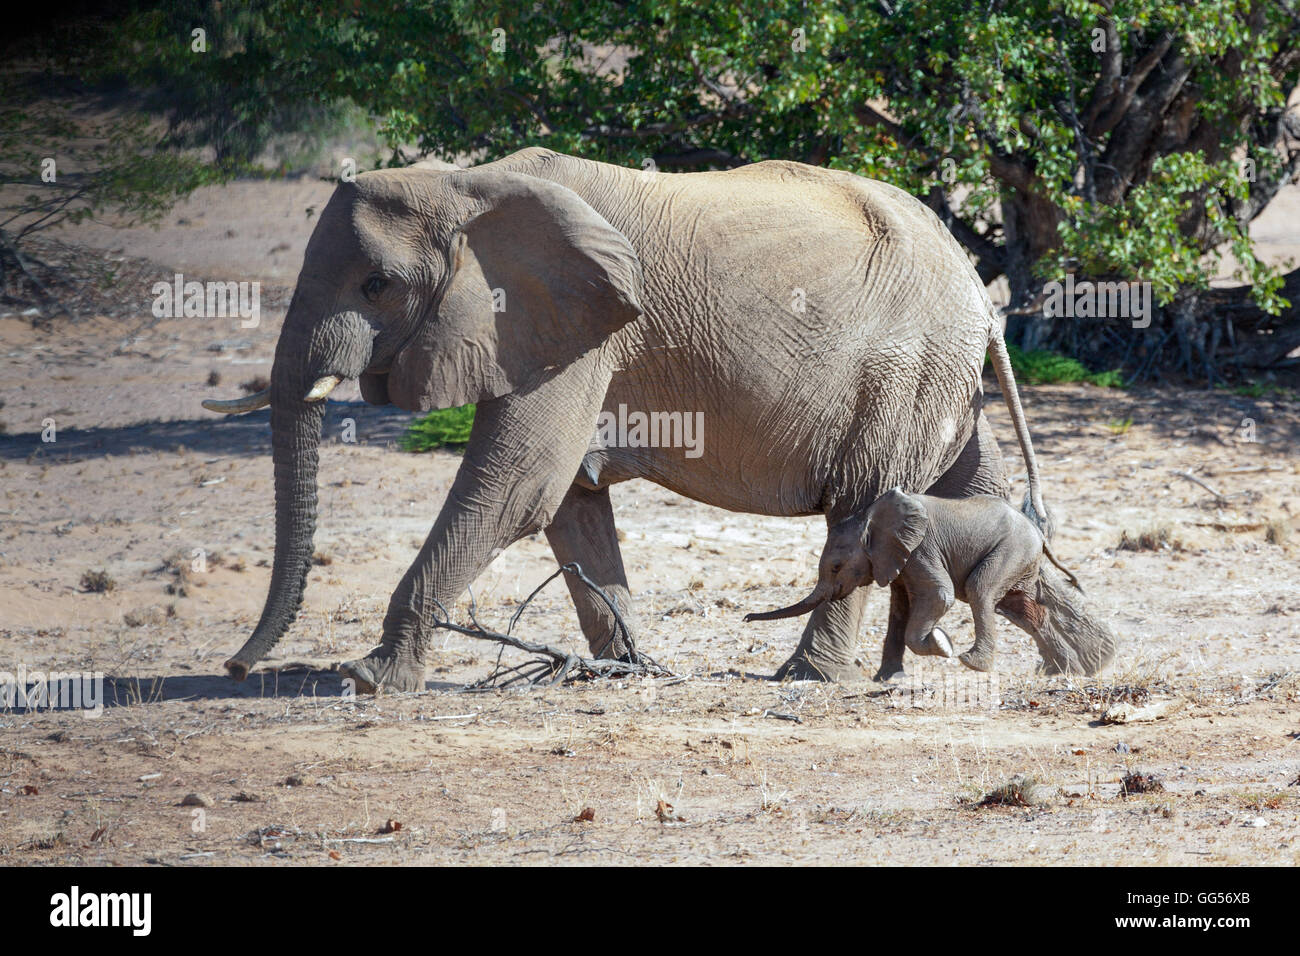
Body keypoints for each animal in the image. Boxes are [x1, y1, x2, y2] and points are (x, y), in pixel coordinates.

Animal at [748, 494, 1081, 671]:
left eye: (836, 567)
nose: (747, 618)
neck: (869, 517)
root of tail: (1037, 530)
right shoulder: (899, 558)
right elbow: (904, 603)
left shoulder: (922, 548)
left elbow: (940, 595)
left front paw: (943, 644)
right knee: (1024, 608)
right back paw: (1063, 669)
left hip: (1012, 549)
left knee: (980, 590)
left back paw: (972, 662)